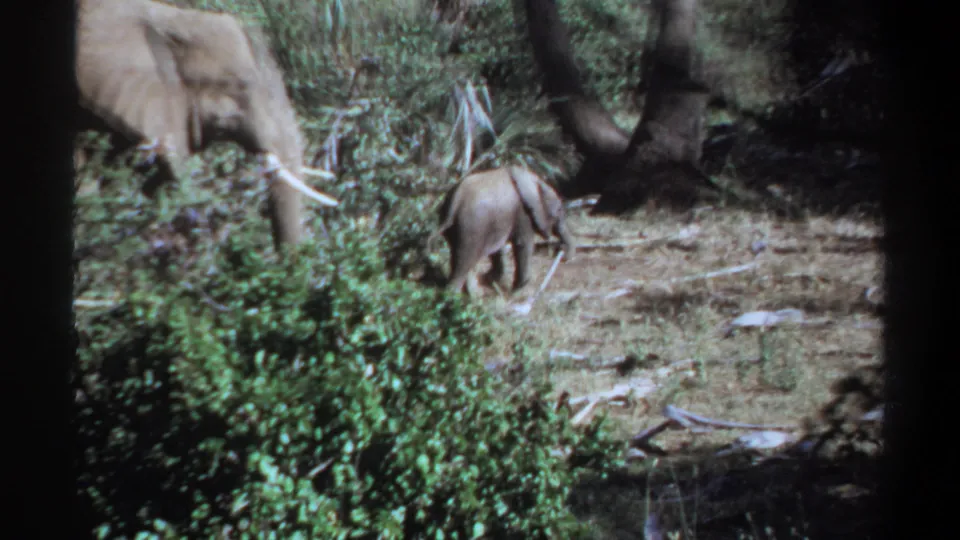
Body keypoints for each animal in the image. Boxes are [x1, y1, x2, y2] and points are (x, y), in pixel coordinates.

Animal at [428, 166, 576, 297]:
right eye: (559, 210)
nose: (562, 255)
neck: (534, 180)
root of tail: (455, 200)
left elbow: (498, 250)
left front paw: (489, 279)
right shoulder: (523, 214)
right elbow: (523, 244)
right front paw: (518, 290)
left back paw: (474, 295)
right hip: (471, 226)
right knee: (465, 260)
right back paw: (454, 297)